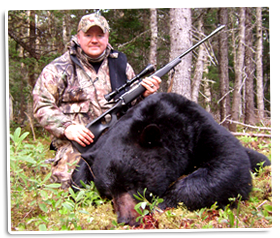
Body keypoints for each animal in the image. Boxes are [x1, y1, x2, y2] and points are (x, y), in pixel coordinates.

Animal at [71, 92, 270, 226]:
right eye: (107, 193)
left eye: (131, 185)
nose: (125, 219)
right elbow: (78, 174)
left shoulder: (198, 128)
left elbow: (230, 163)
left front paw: (163, 202)